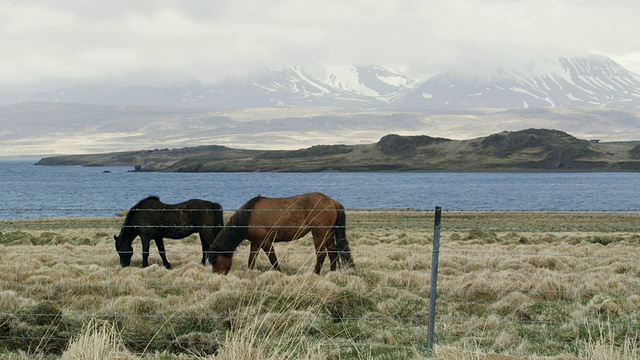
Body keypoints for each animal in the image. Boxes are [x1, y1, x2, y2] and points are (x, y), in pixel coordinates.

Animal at [208, 193, 356, 274]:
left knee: (321, 254)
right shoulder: (255, 242)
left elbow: (273, 259)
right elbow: (251, 260)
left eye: (215, 260)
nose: (217, 275)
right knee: (333, 253)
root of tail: (333, 202)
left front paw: (279, 272)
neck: (248, 216)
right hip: (329, 234)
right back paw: (332, 273)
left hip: (319, 234)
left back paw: (316, 274)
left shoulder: (266, 242)